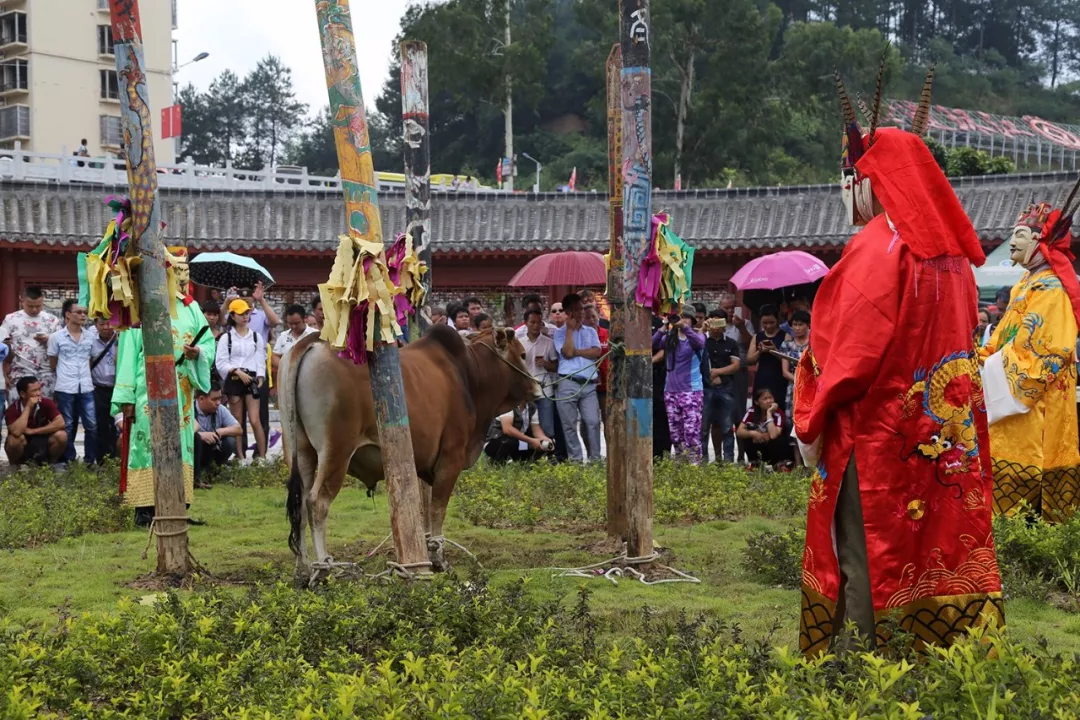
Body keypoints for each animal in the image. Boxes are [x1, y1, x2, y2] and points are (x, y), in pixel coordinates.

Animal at [276, 323, 533, 582]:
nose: (537, 387)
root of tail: (308, 343)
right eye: (522, 355)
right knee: (317, 503)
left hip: (300, 450)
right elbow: (438, 509)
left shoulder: (426, 467)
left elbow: (425, 510)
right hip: (336, 451)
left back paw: (302, 570)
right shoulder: (451, 458)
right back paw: (323, 570)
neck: (469, 375)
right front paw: (439, 560)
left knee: (299, 505)